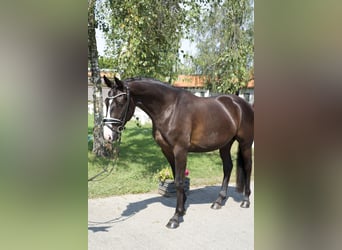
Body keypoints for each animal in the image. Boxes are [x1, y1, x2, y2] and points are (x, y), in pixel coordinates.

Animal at [103, 75, 252, 229]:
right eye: (106, 102)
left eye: (120, 102)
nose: (108, 135)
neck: (170, 109)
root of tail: (241, 103)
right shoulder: (167, 150)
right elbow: (176, 178)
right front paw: (182, 210)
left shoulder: (180, 150)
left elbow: (180, 181)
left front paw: (175, 218)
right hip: (225, 145)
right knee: (228, 167)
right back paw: (218, 201)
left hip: (246, 144)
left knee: (247, 167)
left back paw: (246, 200)